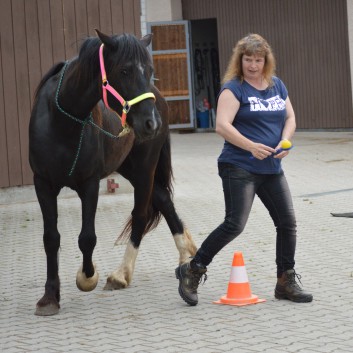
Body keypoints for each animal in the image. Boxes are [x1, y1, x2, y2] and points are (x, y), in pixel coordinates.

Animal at [28, 30, 195, 314]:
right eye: (125, 70)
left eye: (150, 69)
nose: (151, 123)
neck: (61, 121)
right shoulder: (43, 184)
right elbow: (50, 238)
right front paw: (50, 297)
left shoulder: (90, 184)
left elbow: (87, 238)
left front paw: (87, 277)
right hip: (128, 167)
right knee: (163, 199)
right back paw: (185, 254)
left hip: (144, 167)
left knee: (140, 214)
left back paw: (121, 274)